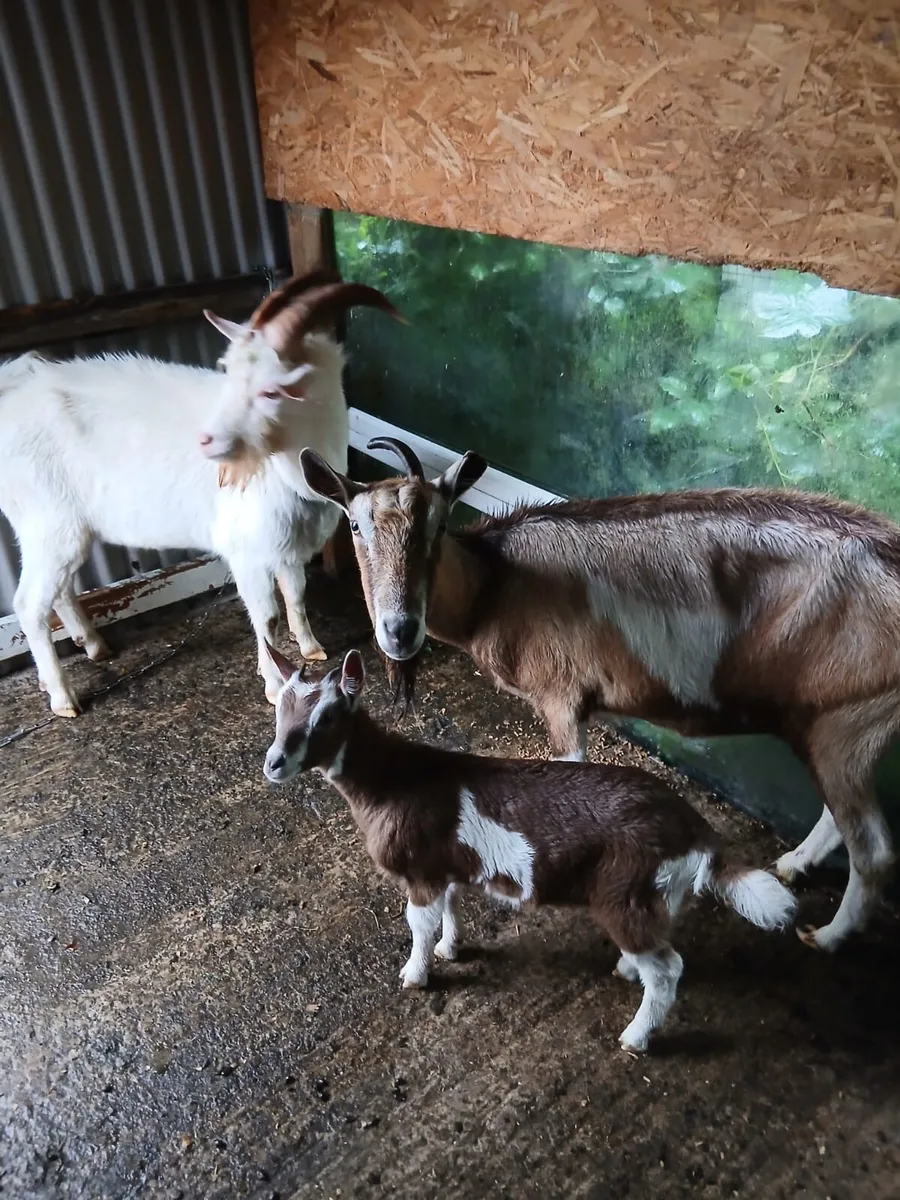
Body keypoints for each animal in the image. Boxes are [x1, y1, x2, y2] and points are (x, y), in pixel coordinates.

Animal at [0, 271, 400, 717]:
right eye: (227, 373)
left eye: (271, 391)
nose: (205, 441)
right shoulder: (247, 549)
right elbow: (268, 617)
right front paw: (274, 684)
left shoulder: (287, 543)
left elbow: (296, 595)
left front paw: (312, 648)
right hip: (47, 521)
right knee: (29, 604)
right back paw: (63, 697)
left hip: (63, 528)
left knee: (62, 590)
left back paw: (92, 646)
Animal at [261, 643, 797, 1054]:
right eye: (279, 707)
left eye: (328, 717)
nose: (274, 762)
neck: (394, 780)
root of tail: (696, 828)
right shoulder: (442, 864)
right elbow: (451, 907)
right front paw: (451, 948)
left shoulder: (419, 871)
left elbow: (419, 923)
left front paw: (415, 974)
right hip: (657, 891)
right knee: (659, 942)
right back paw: (627, 969)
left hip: (623, 890)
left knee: (667, 969)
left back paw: (635, 1037)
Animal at [297, 438, 900, 954]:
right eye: (355, 524)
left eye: (439, 523)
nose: (400, 631)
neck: (495, 586)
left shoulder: (561, 697)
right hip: (831, 726)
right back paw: (794, 865)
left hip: (847, 723)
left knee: (873, 847)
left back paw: (827, 936)